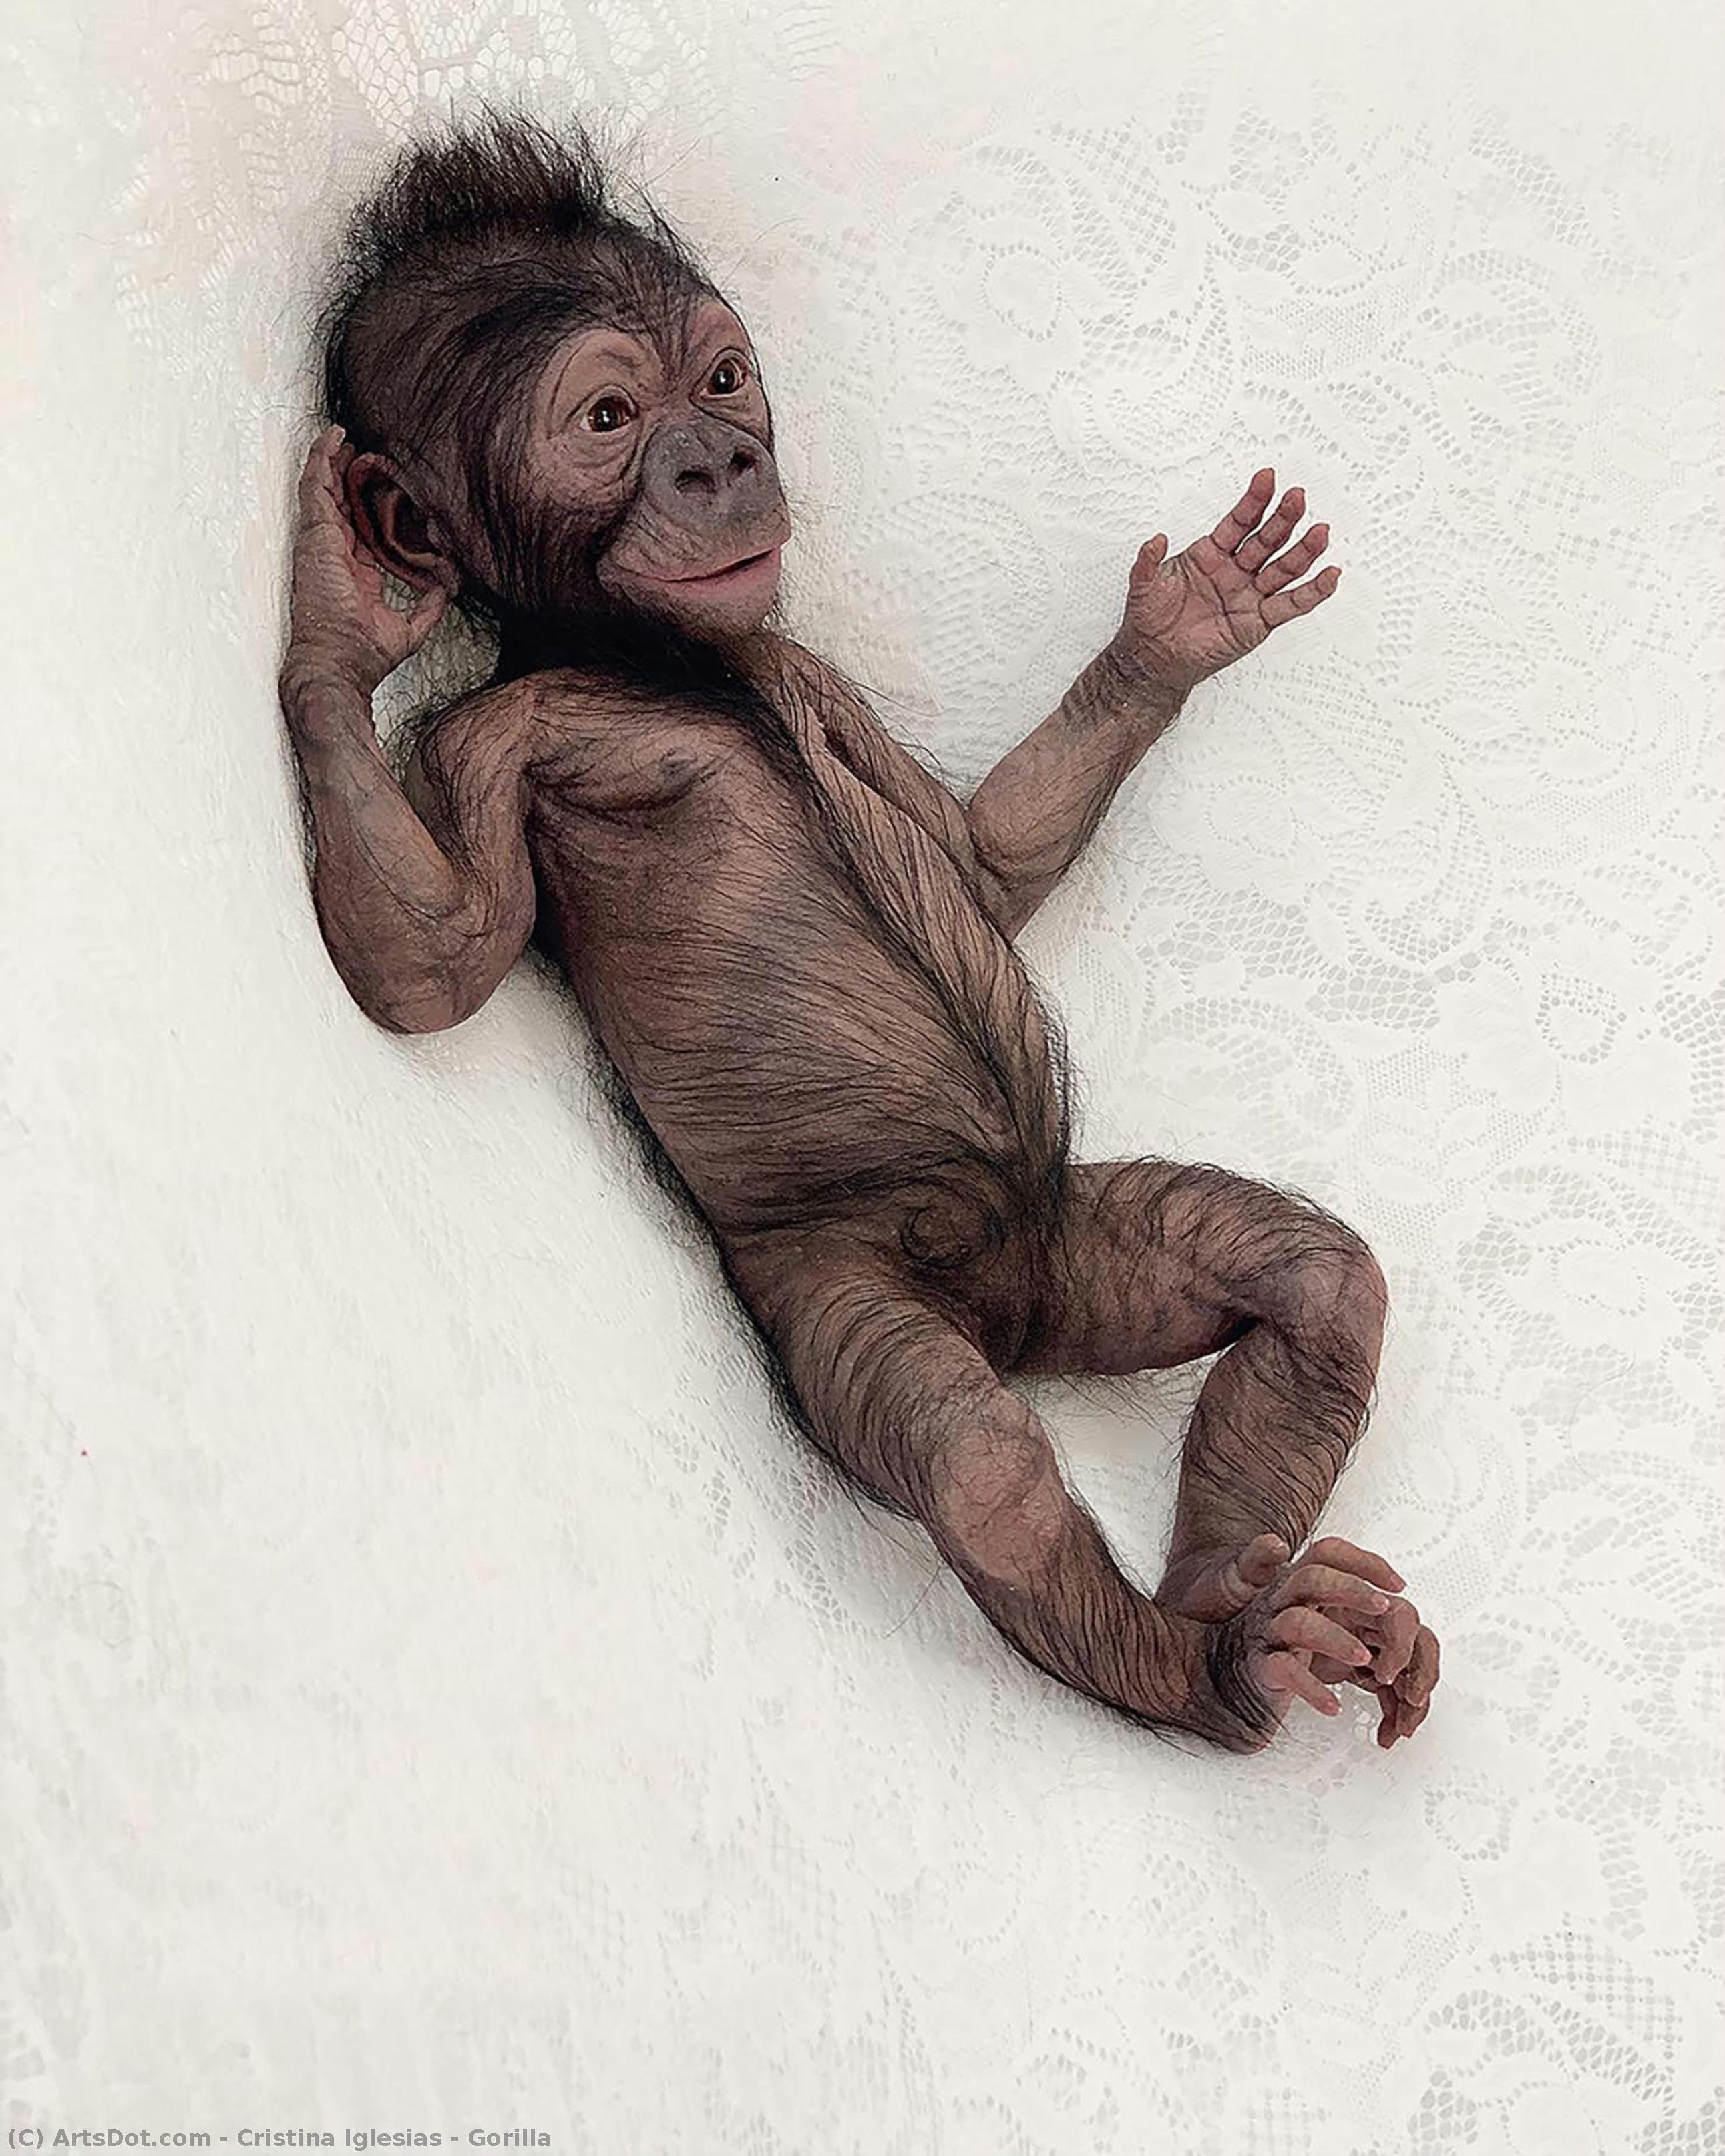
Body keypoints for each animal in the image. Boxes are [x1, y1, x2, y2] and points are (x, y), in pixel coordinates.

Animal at [279, 108, 1440, 1754]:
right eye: (607, 416)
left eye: (719, 378)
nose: (722, 457)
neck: (680, 672)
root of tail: (1015, 1318)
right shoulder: (480, 743)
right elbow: (430, 967)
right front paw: (339, 623)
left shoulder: (813, 672)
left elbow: (978, 864)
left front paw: (1173, 634)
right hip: (847, 1299)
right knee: (982, 1466)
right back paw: (1209, 1663)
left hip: (1090, 1253)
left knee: (1311, 1282)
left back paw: (1245, 1598)